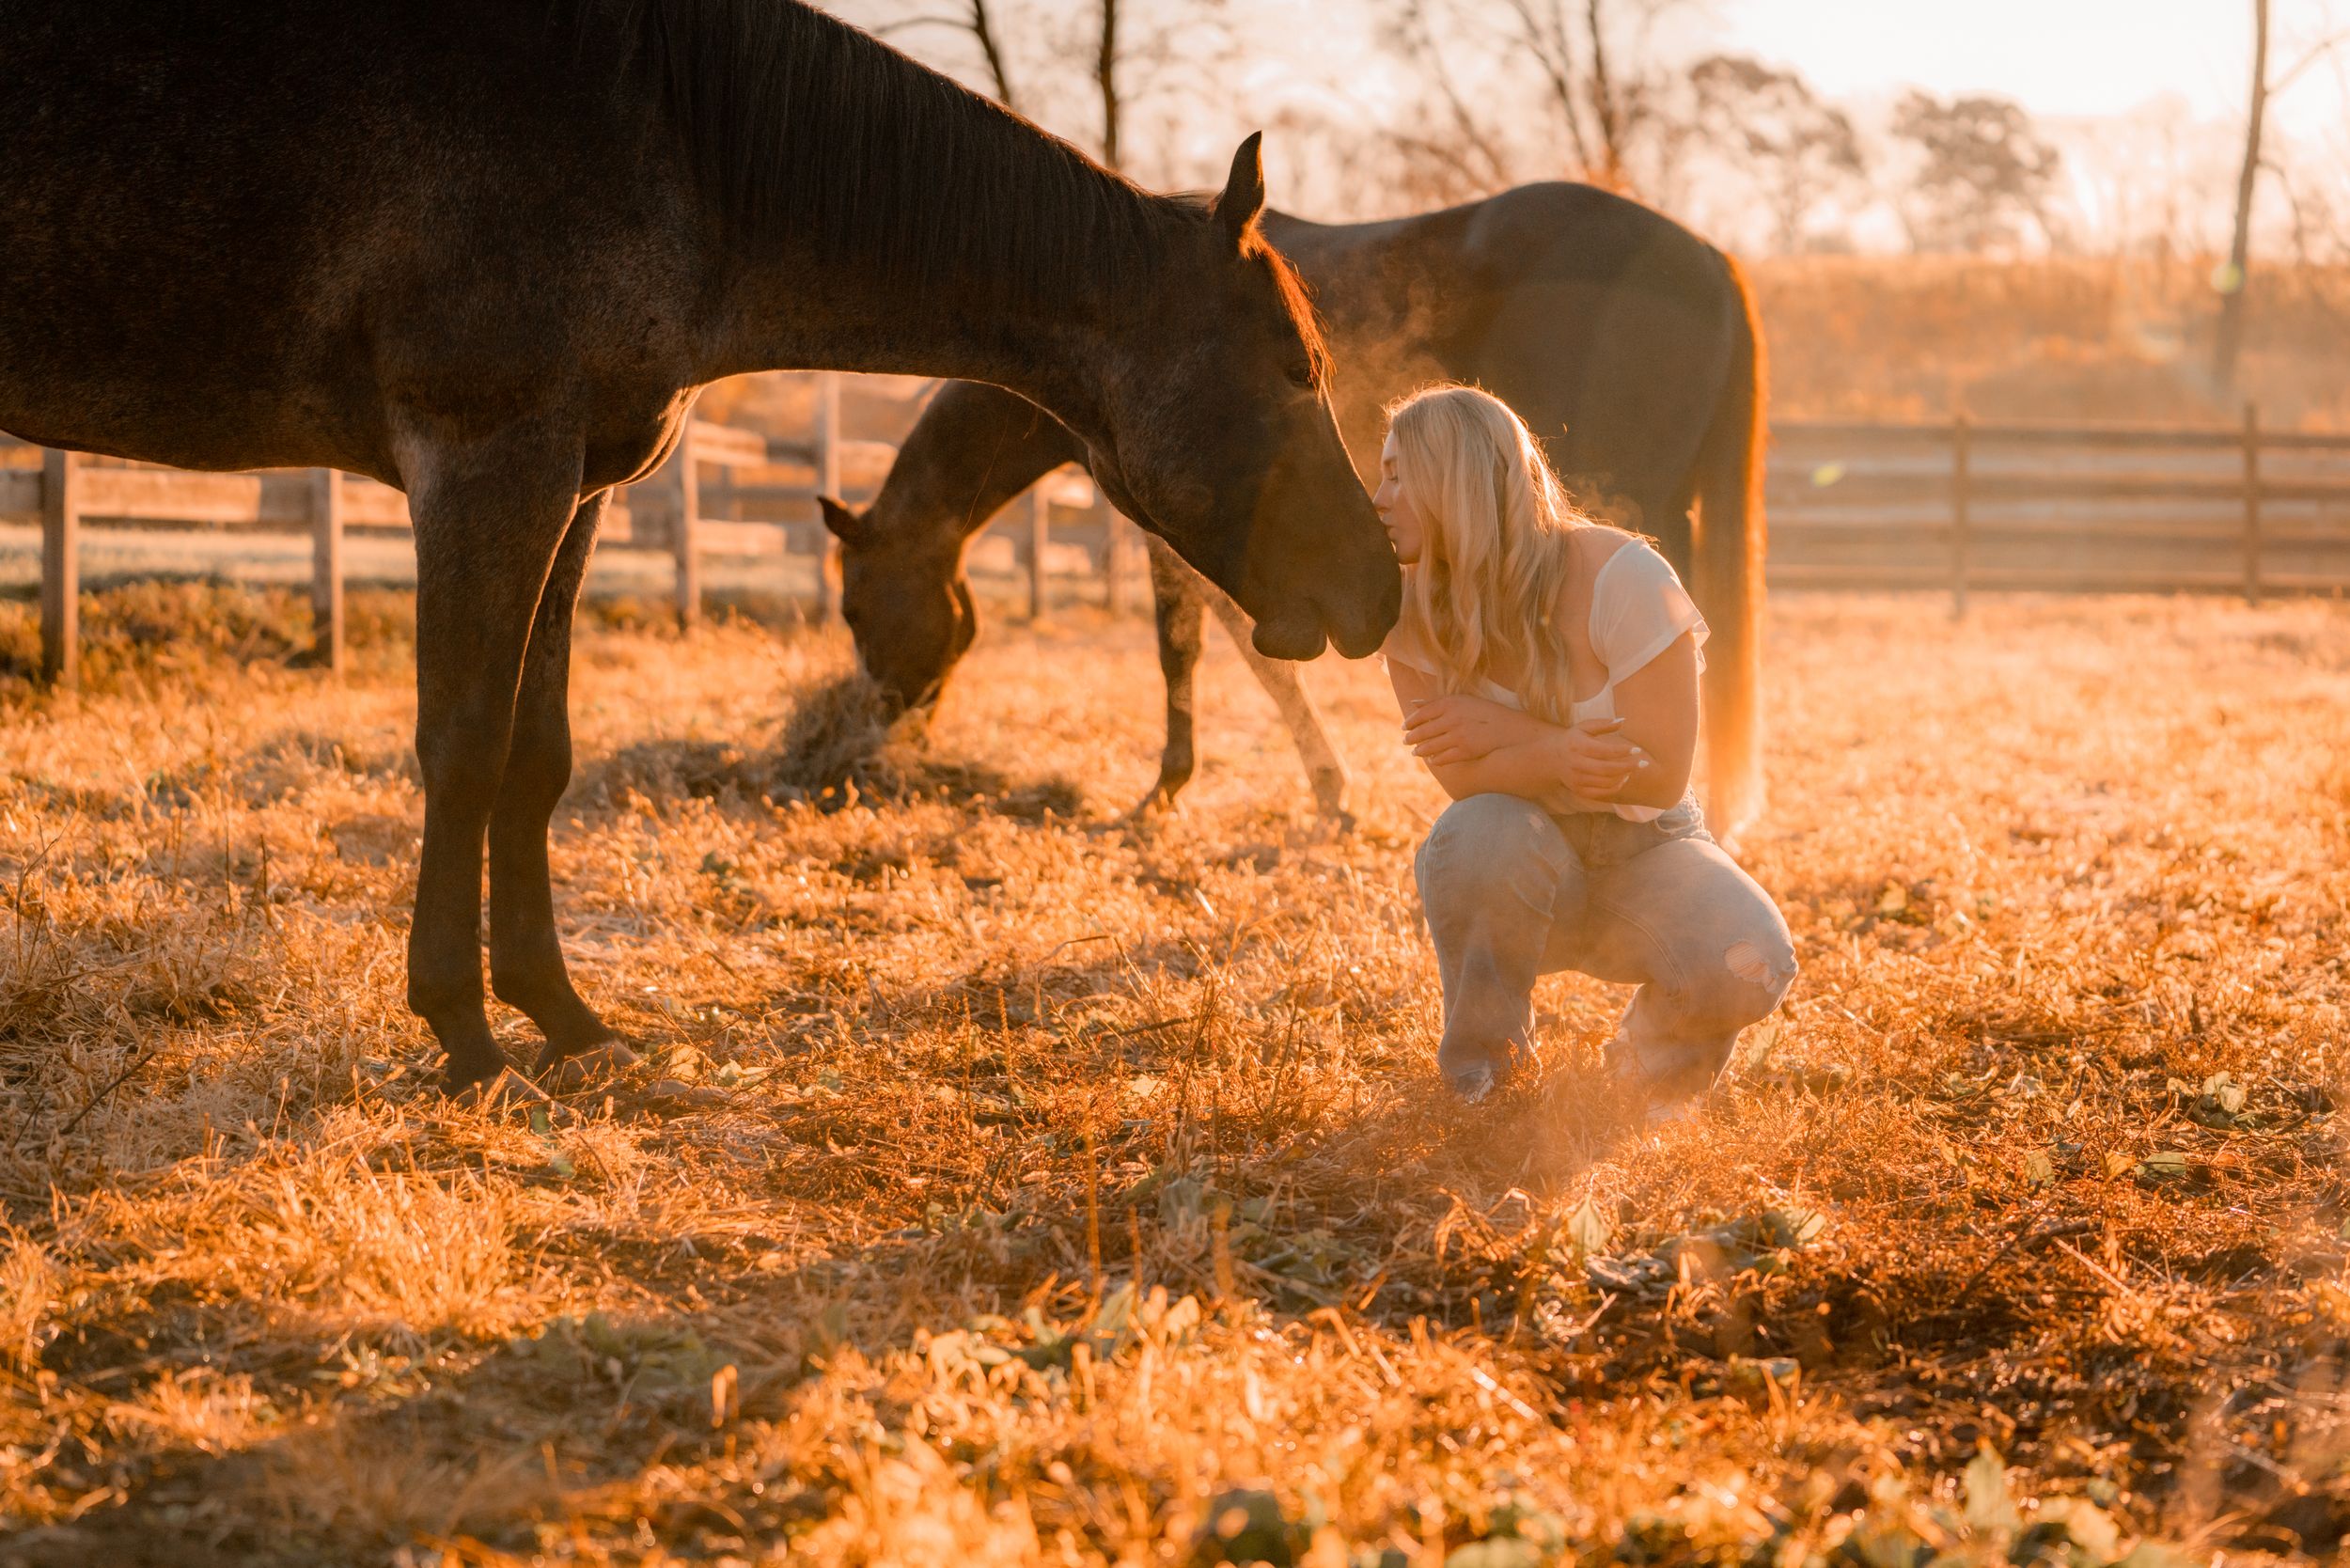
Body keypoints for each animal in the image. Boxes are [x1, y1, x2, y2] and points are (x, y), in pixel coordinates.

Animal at [0, 0, 1398, 1094]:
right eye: (1296, 368)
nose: (1383, 588)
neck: (660, 135)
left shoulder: (572, 489)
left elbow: (536, 757)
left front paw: (563, 1017)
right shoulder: (486, 459)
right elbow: (463, 747)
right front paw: (464, 1034)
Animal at [821, 182, 1767, 834]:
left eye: (854, 608)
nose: (872, 737)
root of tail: (1712, 257)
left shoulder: (1184, 532)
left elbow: (1199, 647)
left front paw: (1181, 787)